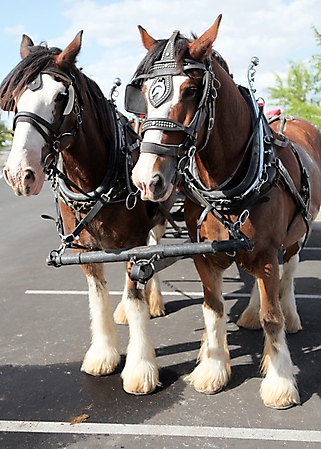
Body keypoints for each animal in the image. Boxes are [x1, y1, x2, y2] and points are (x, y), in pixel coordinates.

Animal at [0, 32, 172, 392]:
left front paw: (141, 369)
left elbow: (134, 297)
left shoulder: (133, 245)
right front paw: (104, 354)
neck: (96, 181)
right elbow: (97, 296)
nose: (19, 174)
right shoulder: (84, 250)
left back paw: (155, 299)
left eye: (61, 96)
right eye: (14, 99)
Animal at [125, 14, 321, 406]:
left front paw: (280, 382)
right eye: (146, 93)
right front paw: (213, 368)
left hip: (296, 235)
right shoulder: (204, 255)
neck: (225, 184)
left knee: (289, 272)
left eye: (190, 90)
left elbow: (272, 316)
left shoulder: (267, 252)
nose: (146, 179)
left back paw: (290, 314)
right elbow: (213, 308)